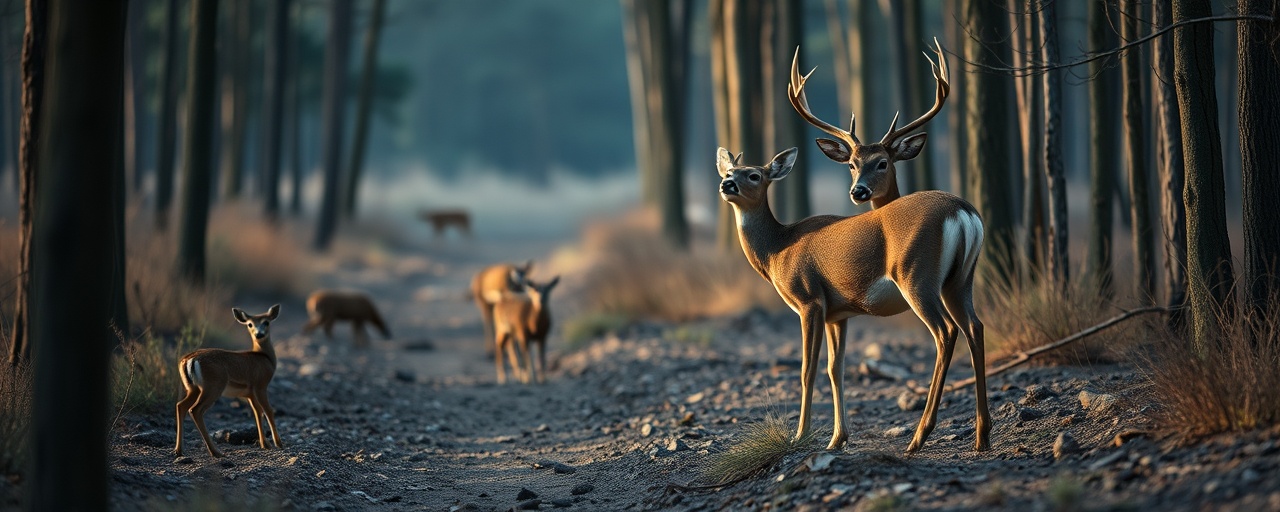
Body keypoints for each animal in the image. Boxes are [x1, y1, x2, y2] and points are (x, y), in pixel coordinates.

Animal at [175, 305, 284, 458]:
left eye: (266, 322)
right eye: (250, 324)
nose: (259, 334)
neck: (264, 357)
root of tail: (188, 360)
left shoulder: (249, 394)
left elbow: (257, 412)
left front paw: (265, 444)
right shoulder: (260, 386)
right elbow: (268, 411)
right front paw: (278, 443)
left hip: (193, 388)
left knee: (180, 406)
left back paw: (179, 450)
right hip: (213, 388)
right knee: (195, 410)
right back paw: (216, 452)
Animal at [717, 147, 991, 453]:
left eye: (754, 175)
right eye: (729, 172)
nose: (727, 184)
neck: (778, 251)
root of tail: (963, 213)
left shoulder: (810, 300)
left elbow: (807, 370)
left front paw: (800, 436)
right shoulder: (838, 314)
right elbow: (836, 369)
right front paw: (838, 438)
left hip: (917, 277)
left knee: (946, 331)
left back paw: (918, 437)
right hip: (960, 281)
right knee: (975, 327)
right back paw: (982, 436)